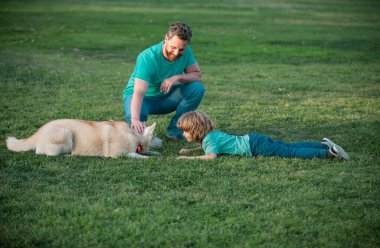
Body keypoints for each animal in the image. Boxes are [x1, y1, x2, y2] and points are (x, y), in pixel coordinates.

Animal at [5, 118, 163, 158]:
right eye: (155, 135)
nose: (162, 141)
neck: (134, 135)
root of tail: (39, 131)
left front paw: (155, 153)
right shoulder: (117, 155)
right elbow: (135, 154)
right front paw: (147, 158)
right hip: (66, 134)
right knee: (43, 153)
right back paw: (68, 155)